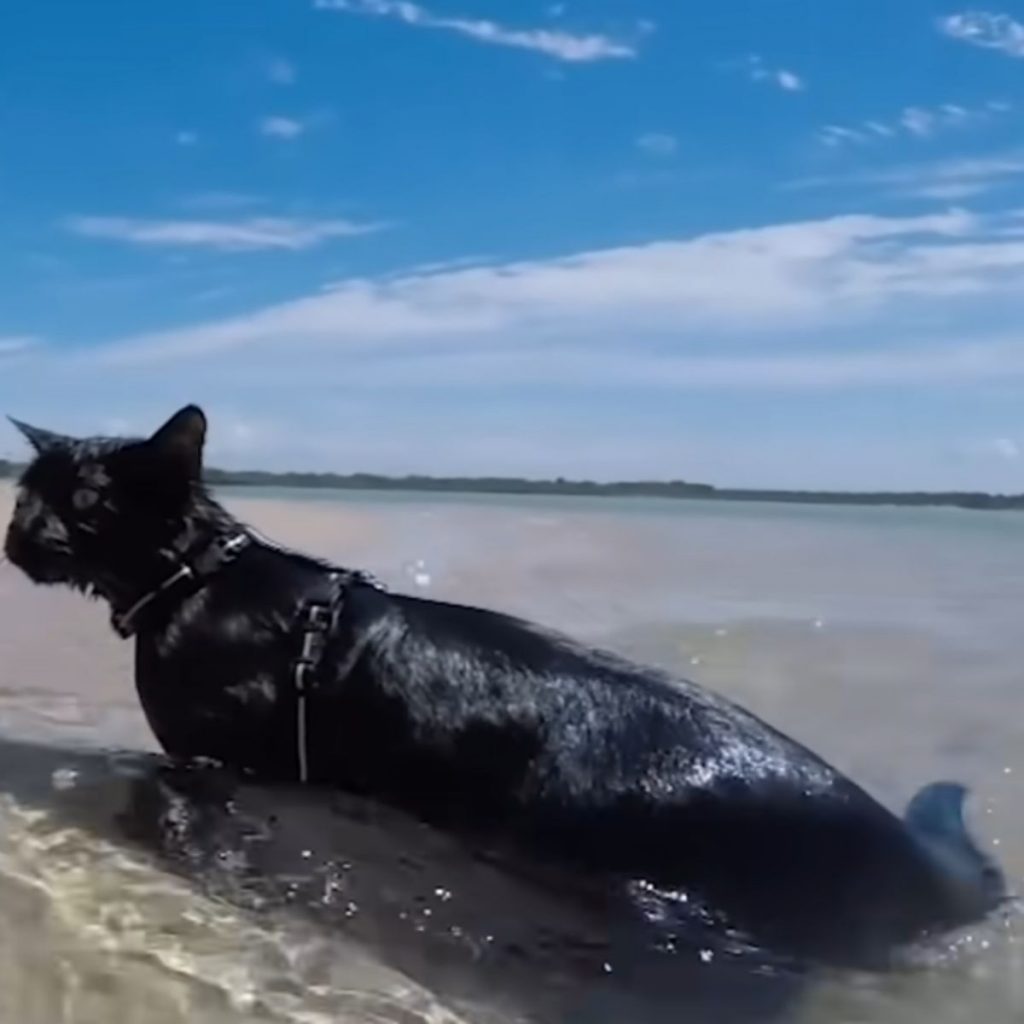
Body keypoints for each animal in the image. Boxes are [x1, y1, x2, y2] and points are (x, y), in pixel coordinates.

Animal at [2, 403, 1007, 962]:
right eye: (24, 494)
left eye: (81, 504)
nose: (16, 536)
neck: (194, 581)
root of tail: (906, 852)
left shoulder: (214, 764)